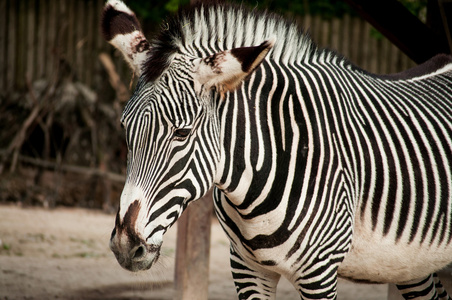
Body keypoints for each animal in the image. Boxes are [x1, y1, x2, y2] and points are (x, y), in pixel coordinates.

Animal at [100, 1, 452, 298]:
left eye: (182, 133)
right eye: (125, 128)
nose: (125, 246)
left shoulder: (320, 273)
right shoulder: (247, 268)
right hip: (414, 264)